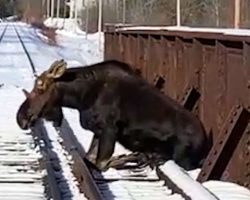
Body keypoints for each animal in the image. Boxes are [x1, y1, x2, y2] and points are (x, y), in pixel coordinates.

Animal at [16, 58, 211, 171]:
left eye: (40, 87)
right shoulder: (98, 130)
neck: (81, 97)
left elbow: (100, 163)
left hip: (182, 157)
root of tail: (204, 140)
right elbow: (89, 158)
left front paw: (130, 158)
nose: (21, 118)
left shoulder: (110, 129)